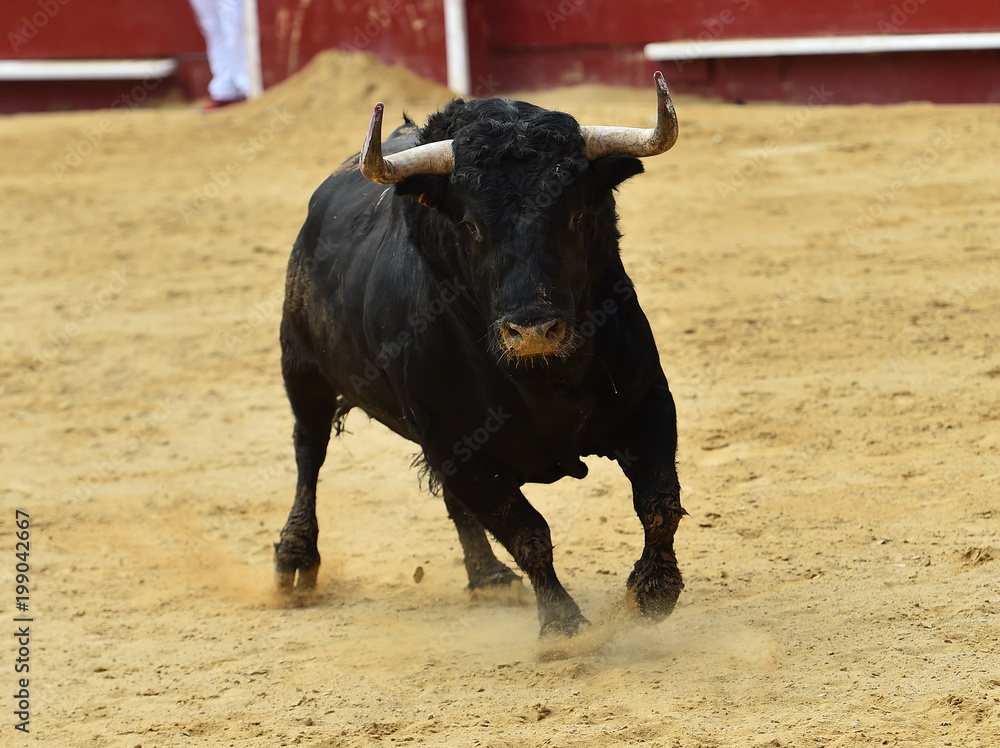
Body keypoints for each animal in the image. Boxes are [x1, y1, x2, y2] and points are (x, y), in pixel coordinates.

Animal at [270, 73, 684, 636]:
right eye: (470, 226)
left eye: (577, 214)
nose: (532, 330)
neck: (541, 380)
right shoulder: (457, 446)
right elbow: (529, 534)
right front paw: (562, 626)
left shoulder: (648, 401)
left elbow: (658, 500)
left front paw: (654, 589)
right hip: (303, 370)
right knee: (308, 451)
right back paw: (294, 562)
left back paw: (487, 576)